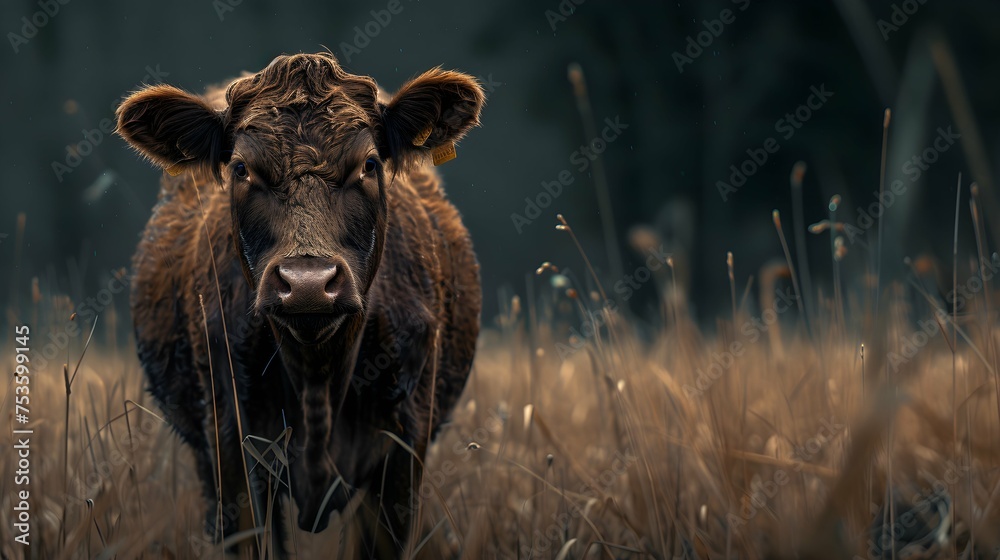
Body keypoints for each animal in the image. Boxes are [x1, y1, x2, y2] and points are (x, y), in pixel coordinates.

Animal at [115, 52, 483, 558]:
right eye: (241, 169)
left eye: (370, 164)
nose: (308, 283)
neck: (317, 379)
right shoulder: (231, 446)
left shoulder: (405, 449)